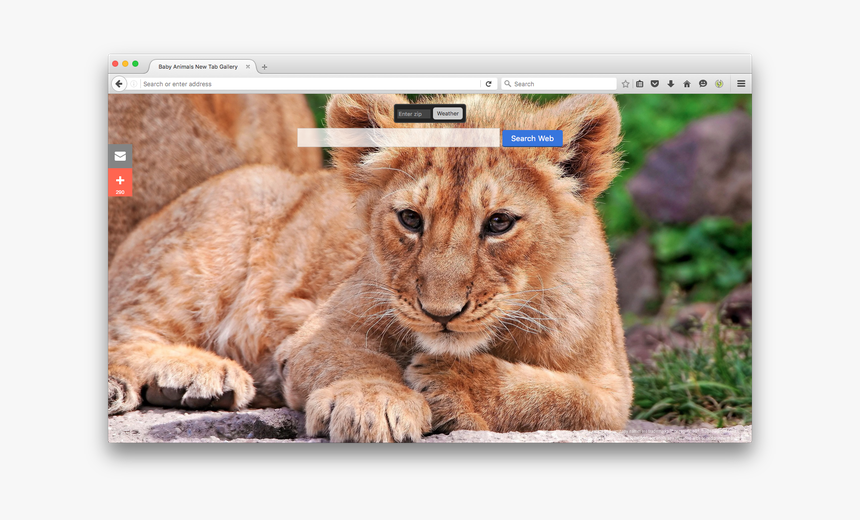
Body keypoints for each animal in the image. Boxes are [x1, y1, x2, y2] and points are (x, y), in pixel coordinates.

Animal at [108, 93, 633, 442]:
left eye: (500, 222)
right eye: (410, 219)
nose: (441, 313)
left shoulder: (616, 391)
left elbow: (563, 401)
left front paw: (452, 386)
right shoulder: (320, 330)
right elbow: (353, 360)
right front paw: (373, 402)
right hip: (228, 220)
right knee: (121, 327)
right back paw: (196, 377)